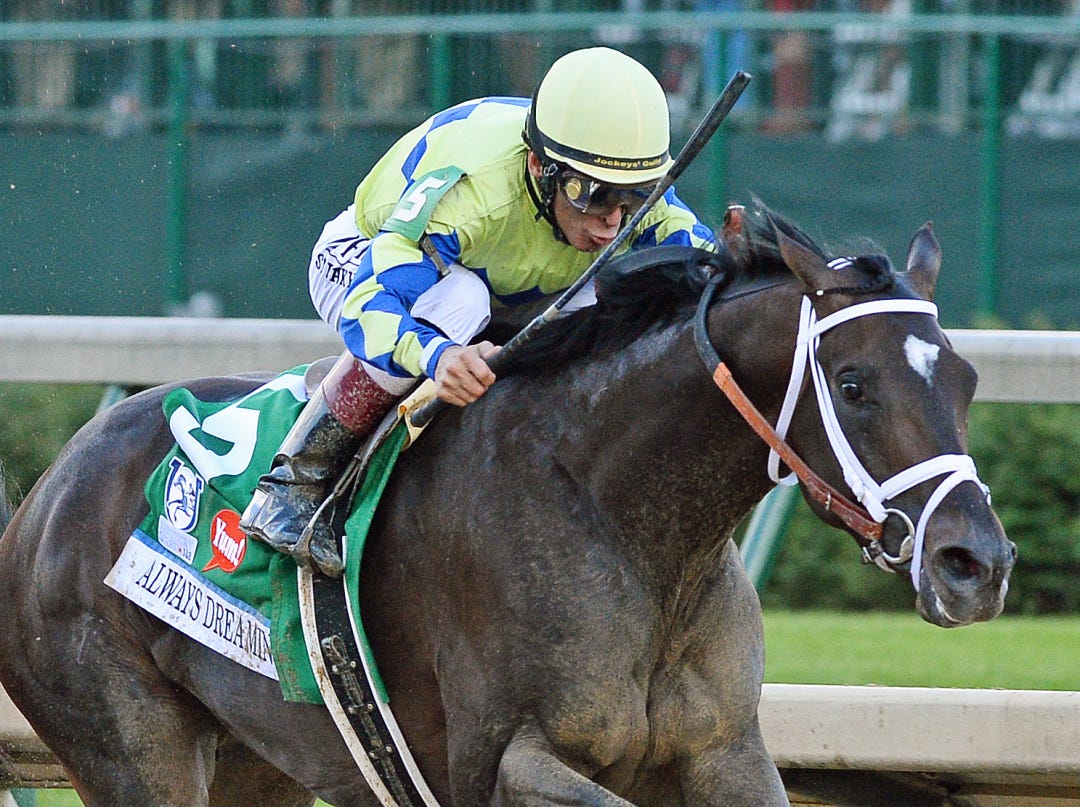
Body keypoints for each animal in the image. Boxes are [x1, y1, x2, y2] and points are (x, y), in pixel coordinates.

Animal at [0, 203, 1014, 806]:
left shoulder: (726, 748)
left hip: (259, 758)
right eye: (853, 383)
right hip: (131, 740)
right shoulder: (502, 760)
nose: (978, 563)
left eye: (967, 379)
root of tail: (45, 491)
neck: (630, 526)